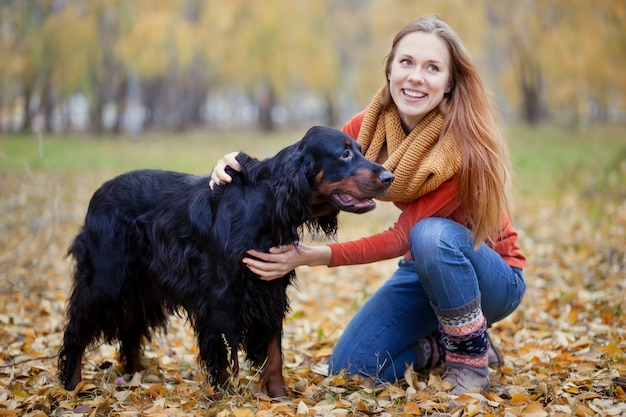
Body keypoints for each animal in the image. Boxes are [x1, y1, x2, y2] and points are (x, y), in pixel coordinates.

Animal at [58, 126, 390, 396]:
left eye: (360, 150)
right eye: (344, 154)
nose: (389, 177)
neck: (266, 204)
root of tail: (98, 194)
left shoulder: (268, 292)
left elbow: (274, 355)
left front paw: (279, 397)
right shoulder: (220, 297)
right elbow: (224, 355)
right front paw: (227, 399)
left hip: (142, 287)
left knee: (130, 332)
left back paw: (135, 378)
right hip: (106, 281)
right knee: (76, 330)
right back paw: (73, 386)